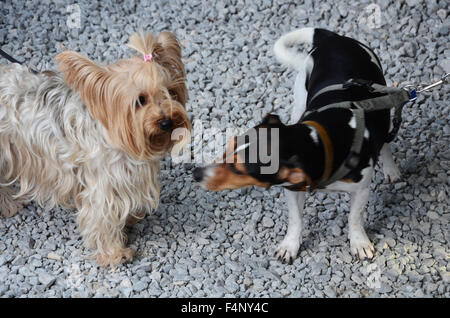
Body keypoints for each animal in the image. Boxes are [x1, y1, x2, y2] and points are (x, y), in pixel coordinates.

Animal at [0, 31, 191, 266]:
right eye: (140, 100)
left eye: (171, 93)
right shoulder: (103, 184)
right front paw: (115, 253)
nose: (166, 122)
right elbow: (102, 219)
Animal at [193, 28, 400, 264]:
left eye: (240, 169)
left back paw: (391, 169)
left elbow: (354, 218)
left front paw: (359, 242)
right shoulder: (292, 187)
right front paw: (290, 245)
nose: (196, 174)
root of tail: (333, 37)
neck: (319, 142)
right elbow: (295, 219)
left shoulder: (361, 189)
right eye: (228, 147)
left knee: (385, 141)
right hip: (301, 96)